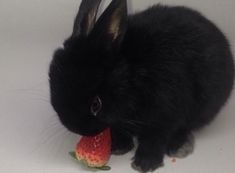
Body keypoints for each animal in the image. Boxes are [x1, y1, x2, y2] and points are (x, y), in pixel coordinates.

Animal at [48, 0, 234, 172]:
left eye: (96, 104)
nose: (77, 129)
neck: (131, 77)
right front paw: (119, 147)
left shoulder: (164, 115)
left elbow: (154, 139)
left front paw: (144, 164)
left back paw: (179, 146)